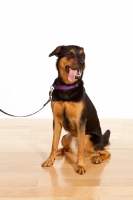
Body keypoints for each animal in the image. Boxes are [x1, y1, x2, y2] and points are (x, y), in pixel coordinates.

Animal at [42, 45, 110, 173]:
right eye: (70, 55)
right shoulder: (57, 120)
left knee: (105, 151)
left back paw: (98, 158)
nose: (82, 63)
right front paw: (50, 160)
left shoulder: (81, 120)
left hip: (88, 140)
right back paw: (60, 151)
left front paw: (81, 165)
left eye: (83, 55)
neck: (67, 87)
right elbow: (53, 143)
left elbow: (80, 151)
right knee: (67, 148)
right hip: (65, 137)